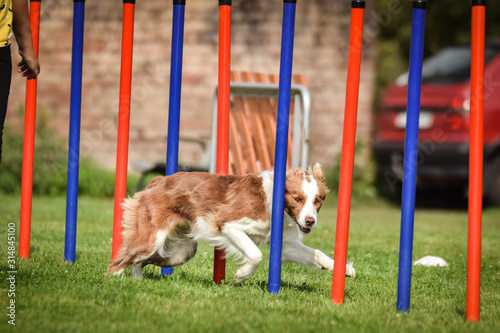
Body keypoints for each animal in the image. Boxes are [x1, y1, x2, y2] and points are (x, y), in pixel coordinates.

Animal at [107, 162, 354, 282]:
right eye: (297, 199)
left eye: (317, 200)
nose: (310, 222)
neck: (272, 202)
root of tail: (157, 180)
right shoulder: (228, 223)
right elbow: (256, 254)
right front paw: (242, 275)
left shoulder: (285, 244)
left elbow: (317, 254)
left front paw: (343, 269)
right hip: (152, 239)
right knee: (118, 263)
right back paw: (115, 283)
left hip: (179, 253)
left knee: (138, 262)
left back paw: (137, 281)